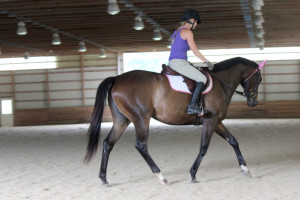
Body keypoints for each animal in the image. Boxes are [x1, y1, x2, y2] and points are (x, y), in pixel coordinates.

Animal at [83, 56, 264, 186]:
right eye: (260, 79)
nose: (253, 102)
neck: (221, 82)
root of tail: (117, 78)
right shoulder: (210, 121)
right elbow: (204, 147)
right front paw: (193, 174)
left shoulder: (217, 121)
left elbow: (233, 141)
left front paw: (245, 168)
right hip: (141, 119)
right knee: (141, 146)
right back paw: (161, 176)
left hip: (122, 120)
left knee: (108, 144)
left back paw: (104, 178)